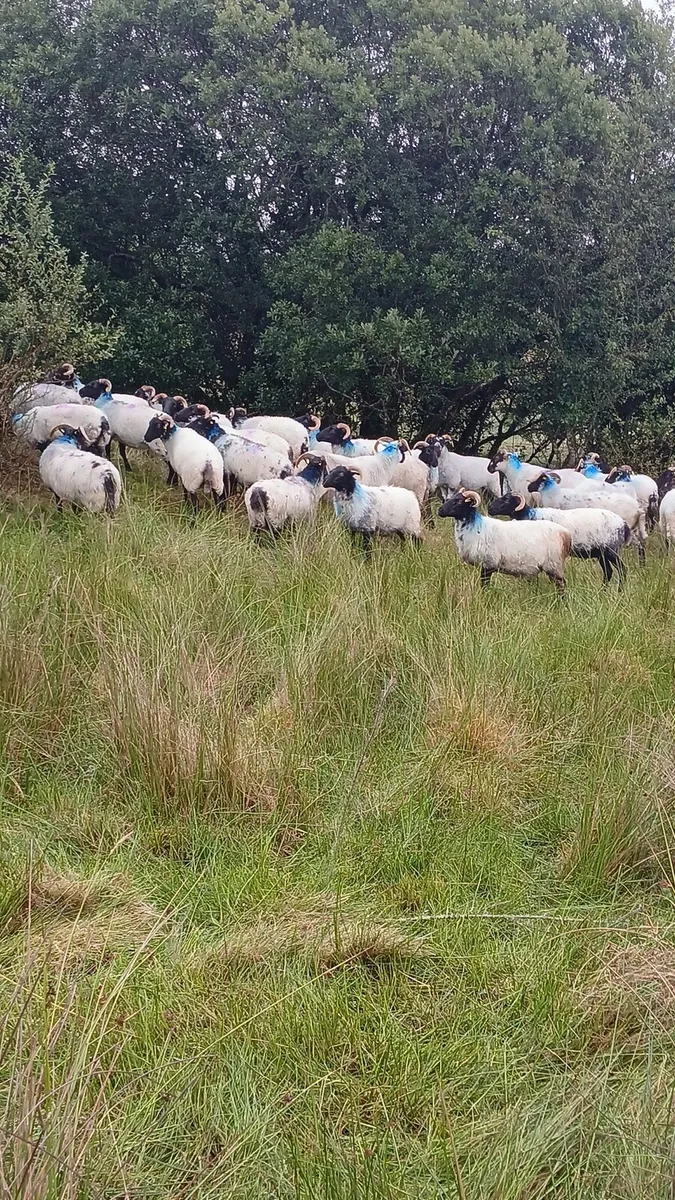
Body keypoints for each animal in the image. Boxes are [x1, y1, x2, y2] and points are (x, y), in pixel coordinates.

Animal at [439, 488, 571, 591]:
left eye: (458, 501)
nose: (439, 510)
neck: (476, 528)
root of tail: (565, 533)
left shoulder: (488, 564)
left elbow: (484, 585)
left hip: (554, 565)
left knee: (562, 585)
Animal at [488, 493, 630, 584]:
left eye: (506, 499)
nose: (489, 508)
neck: (529, 515)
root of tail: (623, 524)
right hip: (601, 554)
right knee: (608, 572)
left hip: (611, 550)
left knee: (622, 570)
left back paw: (620, 592)